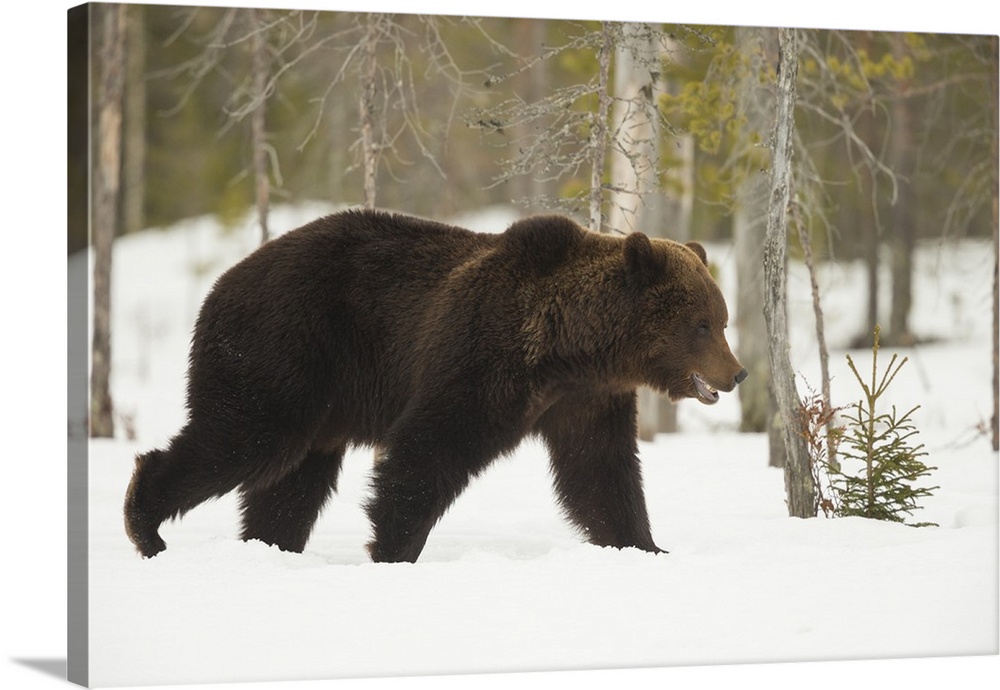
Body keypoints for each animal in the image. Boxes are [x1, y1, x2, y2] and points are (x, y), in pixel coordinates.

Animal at [123, 208, 744, 560]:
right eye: (702, 323)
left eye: (722, 318)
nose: (735, 373)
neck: (568, 345)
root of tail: (221, 282)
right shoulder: (480, 357)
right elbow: (429, 451)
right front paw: (395, 548)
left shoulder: (584, 399)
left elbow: (601, 473)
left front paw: (645, 545)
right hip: (285, 348)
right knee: (243, 438)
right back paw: (145, 526)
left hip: (322, 399)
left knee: (293, 479)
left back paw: (272, 545)